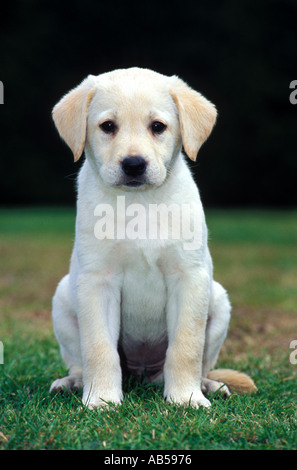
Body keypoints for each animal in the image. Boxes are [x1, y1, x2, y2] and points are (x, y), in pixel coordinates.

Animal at [49, 66, 253, 408]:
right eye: (108, 126)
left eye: (157, 126)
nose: (134, 164)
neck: (139, 204)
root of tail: (141, 375)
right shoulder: (97, 281)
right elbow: (99, 348)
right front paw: (101, 399)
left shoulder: (189, 278)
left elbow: (185, 347)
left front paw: (186, 398)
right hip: (63, 299)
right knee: (78, 360)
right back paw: (73, 382)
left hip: (219, 302)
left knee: (199, 363)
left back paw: (207, 385)